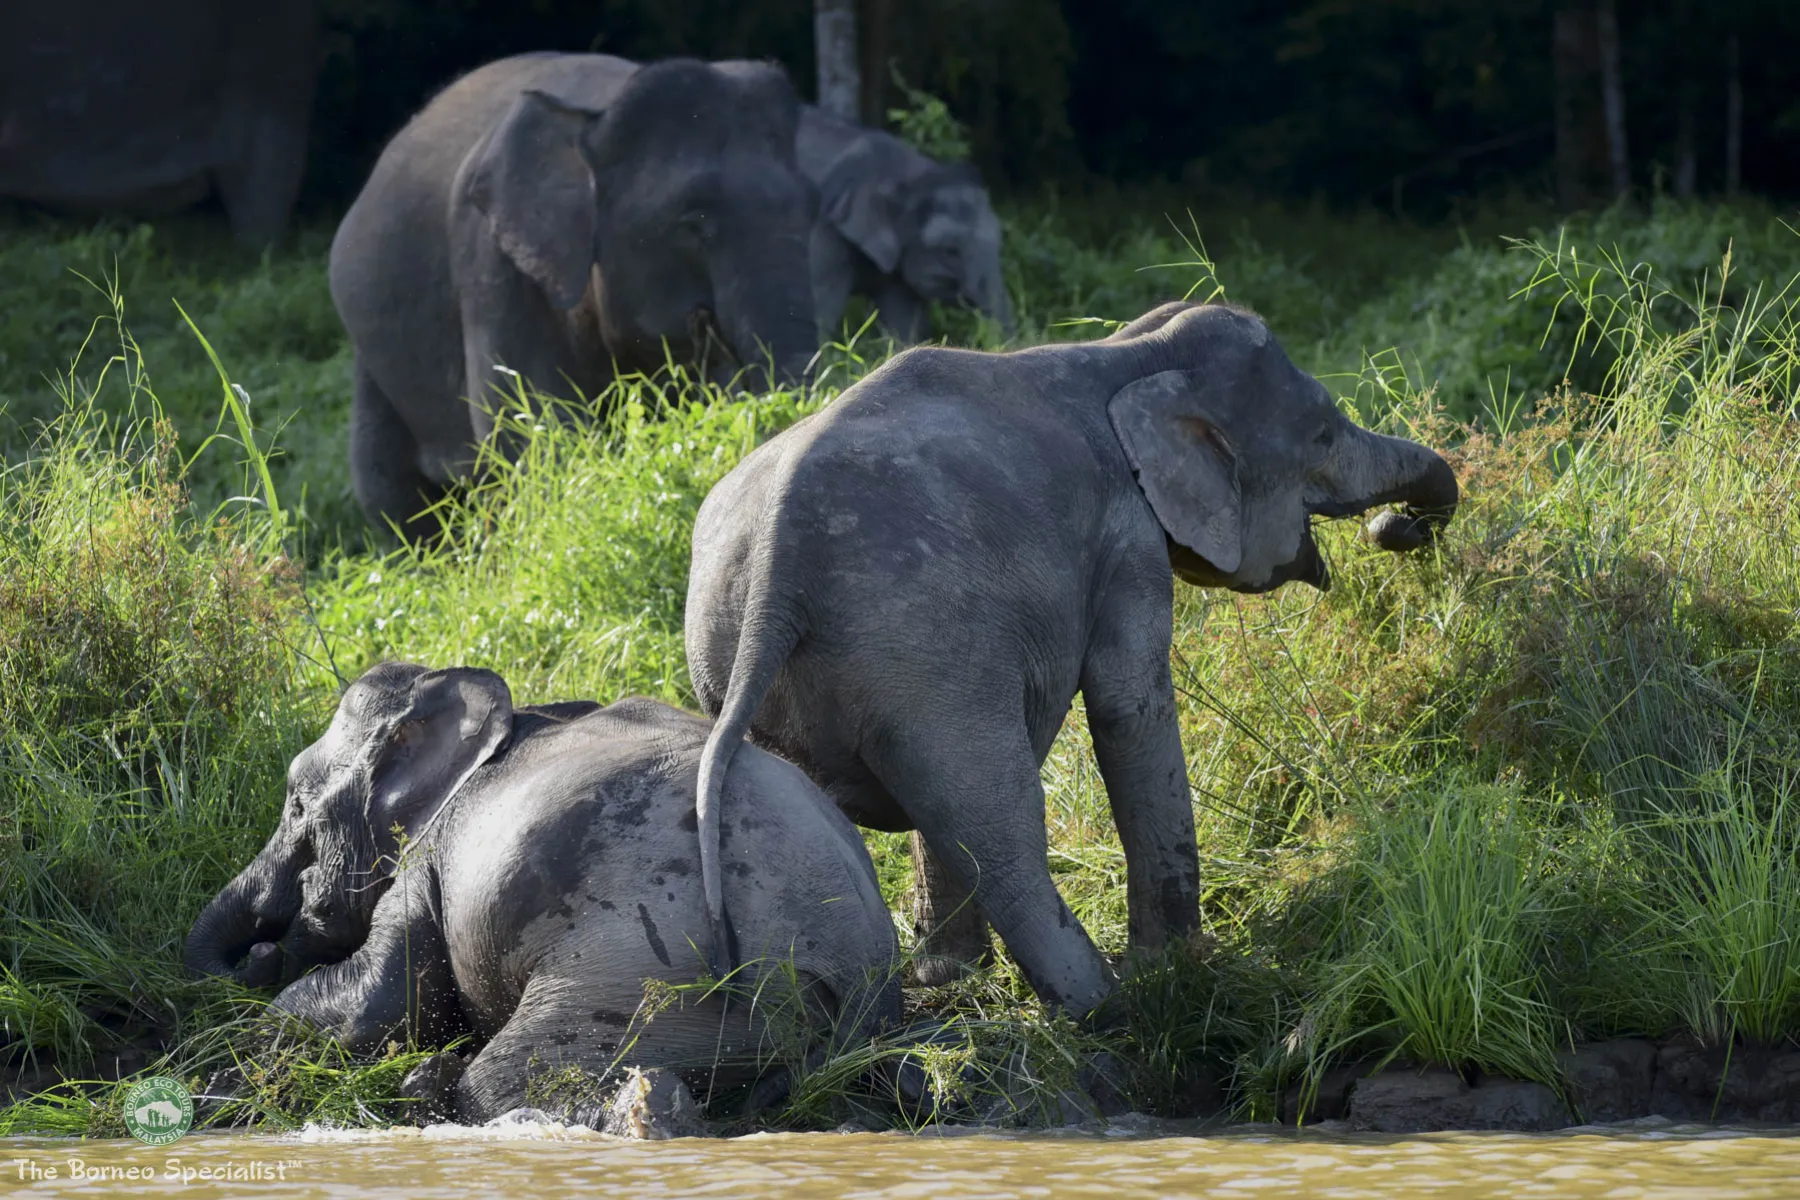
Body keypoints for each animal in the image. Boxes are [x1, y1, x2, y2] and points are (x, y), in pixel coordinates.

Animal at [184, 663, 899, 1123]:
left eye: (296, 802)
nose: (261, 951)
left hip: (656, 982)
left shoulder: (430, 856)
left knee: (501, 1083)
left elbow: (382, 1006)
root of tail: (855, 973)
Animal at [329, 54, 820, 542]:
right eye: (693, 220)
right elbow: (530, 427)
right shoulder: (491, 262)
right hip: (371, 356)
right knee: (394, 496)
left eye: (807, 205)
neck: (601, 109)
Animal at [684, 301, 1458, 1016]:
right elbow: (1130, 705)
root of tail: (778, 573)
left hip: (776, 665)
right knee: (996, 815)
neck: (1131, 352)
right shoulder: (1126, 535)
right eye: (1322, 433)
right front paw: (1179, 966)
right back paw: (1105, 1009)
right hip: (924, 658)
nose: (1397, 528)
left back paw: (947, 983)